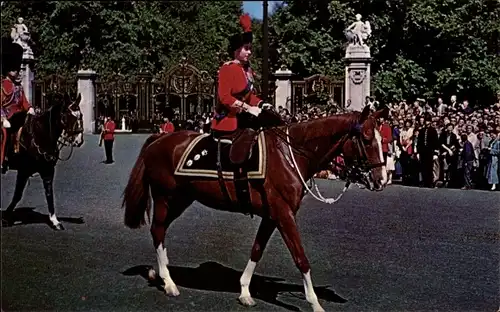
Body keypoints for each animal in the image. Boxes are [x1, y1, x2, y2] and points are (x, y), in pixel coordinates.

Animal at [0, 92, 84, 229]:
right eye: (67, 116)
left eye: (80, 115)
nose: (79, 140)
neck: (40, 136)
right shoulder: (24, 170)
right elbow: (17, 195)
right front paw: (6, 218)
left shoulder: (47, 170)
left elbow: (49, 193)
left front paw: (54, 220)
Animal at [123, 106, 388, 310]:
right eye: (366, 139)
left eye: (381, 139)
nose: (382, 179)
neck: (289, 155)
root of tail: (159, 138)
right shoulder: (284, 215)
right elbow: (301, 258)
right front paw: (315, 303)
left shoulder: (272, 216)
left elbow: (257, 250)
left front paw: (244, 291)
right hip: (165, 197)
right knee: (158, 230)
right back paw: (168, 282)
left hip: (181, 199)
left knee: (160, 230)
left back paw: (159, 272)